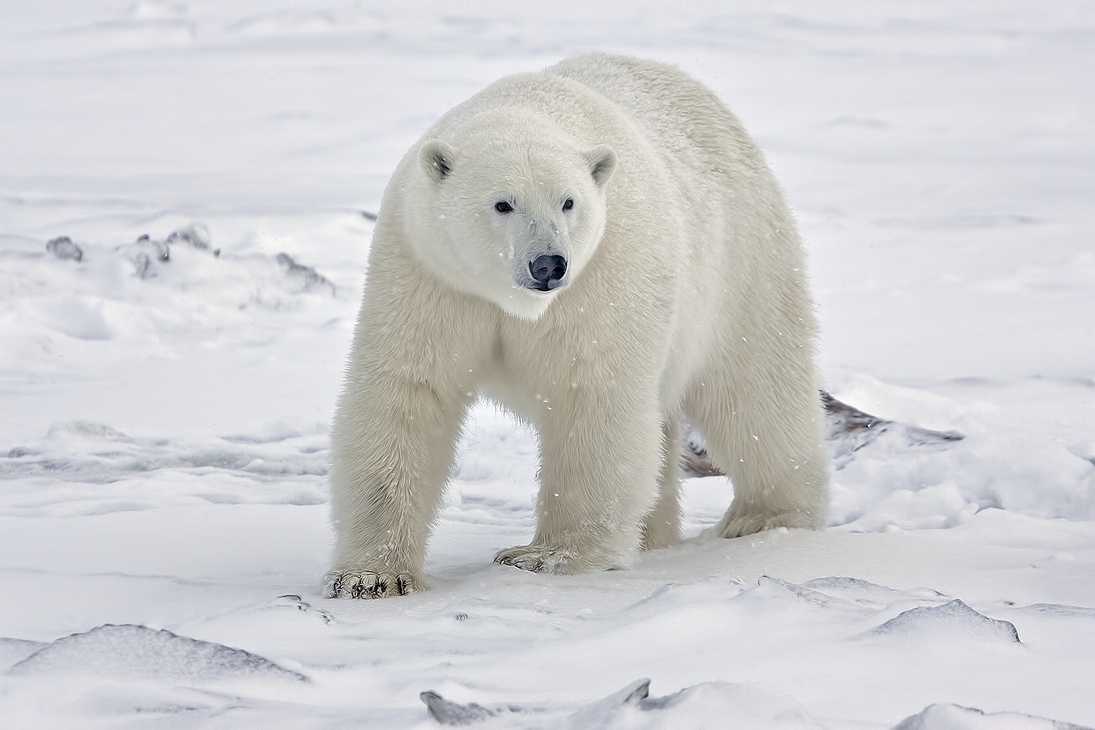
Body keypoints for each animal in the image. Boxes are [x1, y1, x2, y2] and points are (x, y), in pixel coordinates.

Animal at [324, 52, 827, 599]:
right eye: (503, 203)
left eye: (568, 202)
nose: (549, 264)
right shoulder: (428, 274)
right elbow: (408, 394)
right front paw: (370, 576)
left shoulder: (606, 273)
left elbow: (593, 396)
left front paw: (546, 556)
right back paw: (656, 535)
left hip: (741, 259)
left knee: (754, 388)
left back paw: (765, 518)